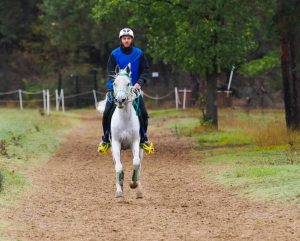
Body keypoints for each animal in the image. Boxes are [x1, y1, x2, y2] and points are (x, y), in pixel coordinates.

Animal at [110, 64, 144, 198]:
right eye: (114, 83)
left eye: (128, 83)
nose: (120, 100)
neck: (124, 118)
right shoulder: (115, 143)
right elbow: (119, 167)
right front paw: (119, 190)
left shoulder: (135, 142)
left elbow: (136, 163)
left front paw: (133, 184)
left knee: (139, 165)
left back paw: (139, 191)